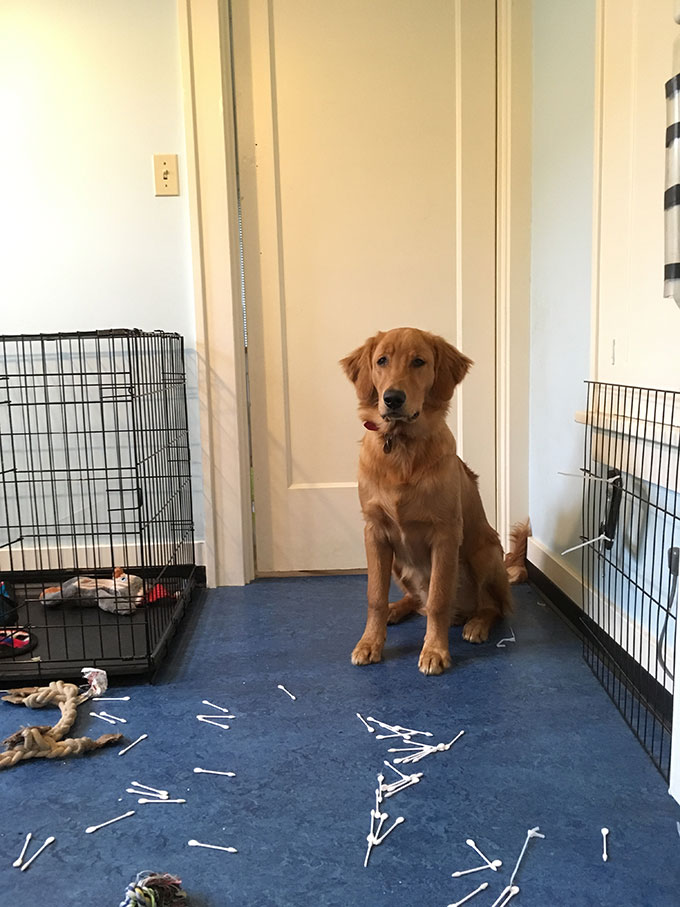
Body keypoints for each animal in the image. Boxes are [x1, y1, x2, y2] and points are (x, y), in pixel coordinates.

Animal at [342, 326, 512, 672]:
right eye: (382, 360)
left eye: (419, 362)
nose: (393, 398)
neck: (401, 445)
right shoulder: (374, 532)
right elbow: (374, 596)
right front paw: (369, 643)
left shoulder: (445, 533)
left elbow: (438, 600)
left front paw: (435, 651)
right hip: (396, 561)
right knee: (414, 599)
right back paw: (397, 608)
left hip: (486, 552)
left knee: (492, 606)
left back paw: (476, 624)